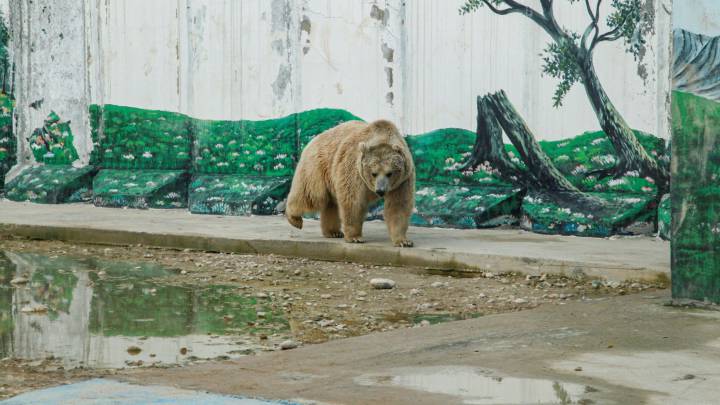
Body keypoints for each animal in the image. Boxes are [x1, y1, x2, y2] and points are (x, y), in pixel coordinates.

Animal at [284, 120, 414, 246]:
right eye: (374, 173)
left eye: (389, 173)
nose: (380, 190)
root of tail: (315, 138)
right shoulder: (354, 170)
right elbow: (353, 201)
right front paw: (355, 237)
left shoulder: (402, 181)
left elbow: (398, 206)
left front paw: (403, 241)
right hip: (318, 167)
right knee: (312, 195)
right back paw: (294, 219)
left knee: (331, 204)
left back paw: (333, 232)